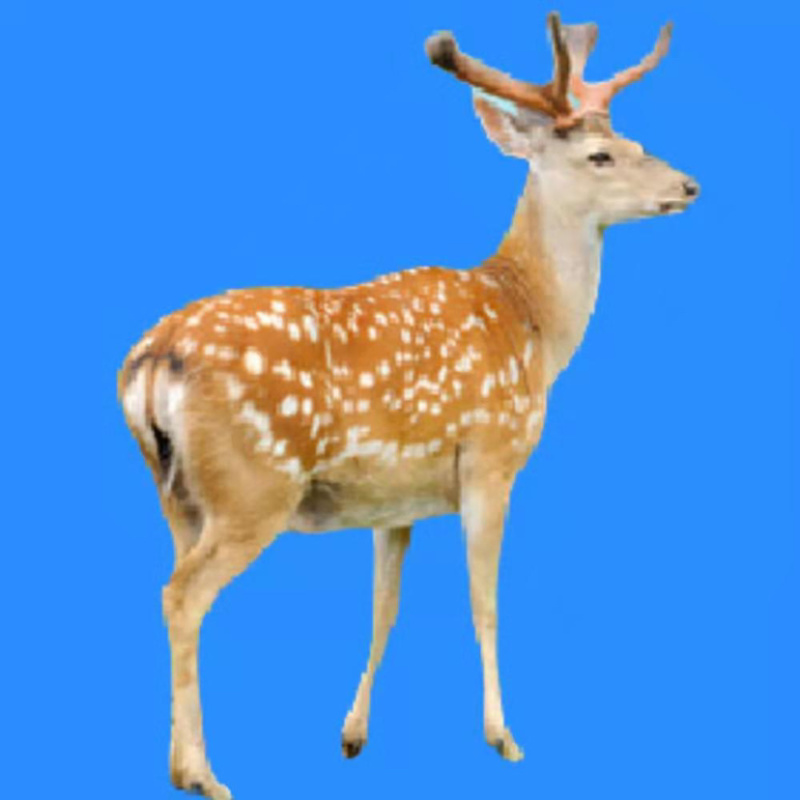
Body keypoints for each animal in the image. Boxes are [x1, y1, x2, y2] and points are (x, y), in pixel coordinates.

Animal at [118, 12, 699, 799]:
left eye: (637, 141)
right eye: (601, 156)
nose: (688, 184)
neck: (531, 322)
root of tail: (154, 359)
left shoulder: (395, 500)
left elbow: (384, 610)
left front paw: (353, 735)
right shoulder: (490, 457)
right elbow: (485, 601)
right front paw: (503, 737)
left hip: (177, 494)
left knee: (172, 589)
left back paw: (182, 763)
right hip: (252, 488)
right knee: (182, 596)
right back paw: (204, 774)